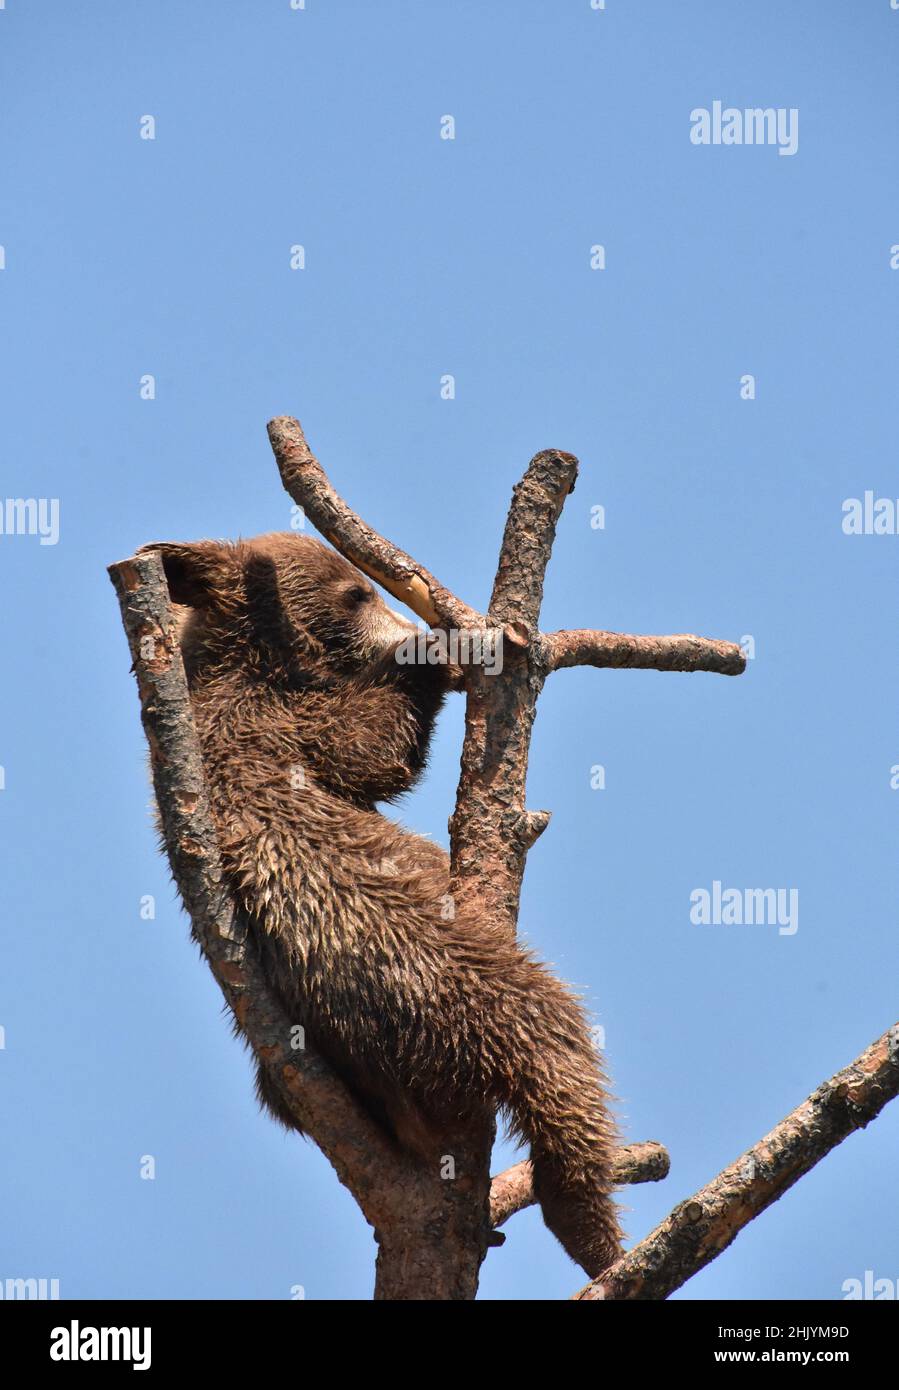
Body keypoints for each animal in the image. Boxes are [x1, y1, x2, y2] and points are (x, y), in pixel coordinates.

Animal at [145, 530, 623, 1279]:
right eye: (356, 592)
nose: (408, 623)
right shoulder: (273, 727)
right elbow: (370, 748)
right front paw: (431, 656)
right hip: (419, 964)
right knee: (551, 1036)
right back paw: (589, 1224)